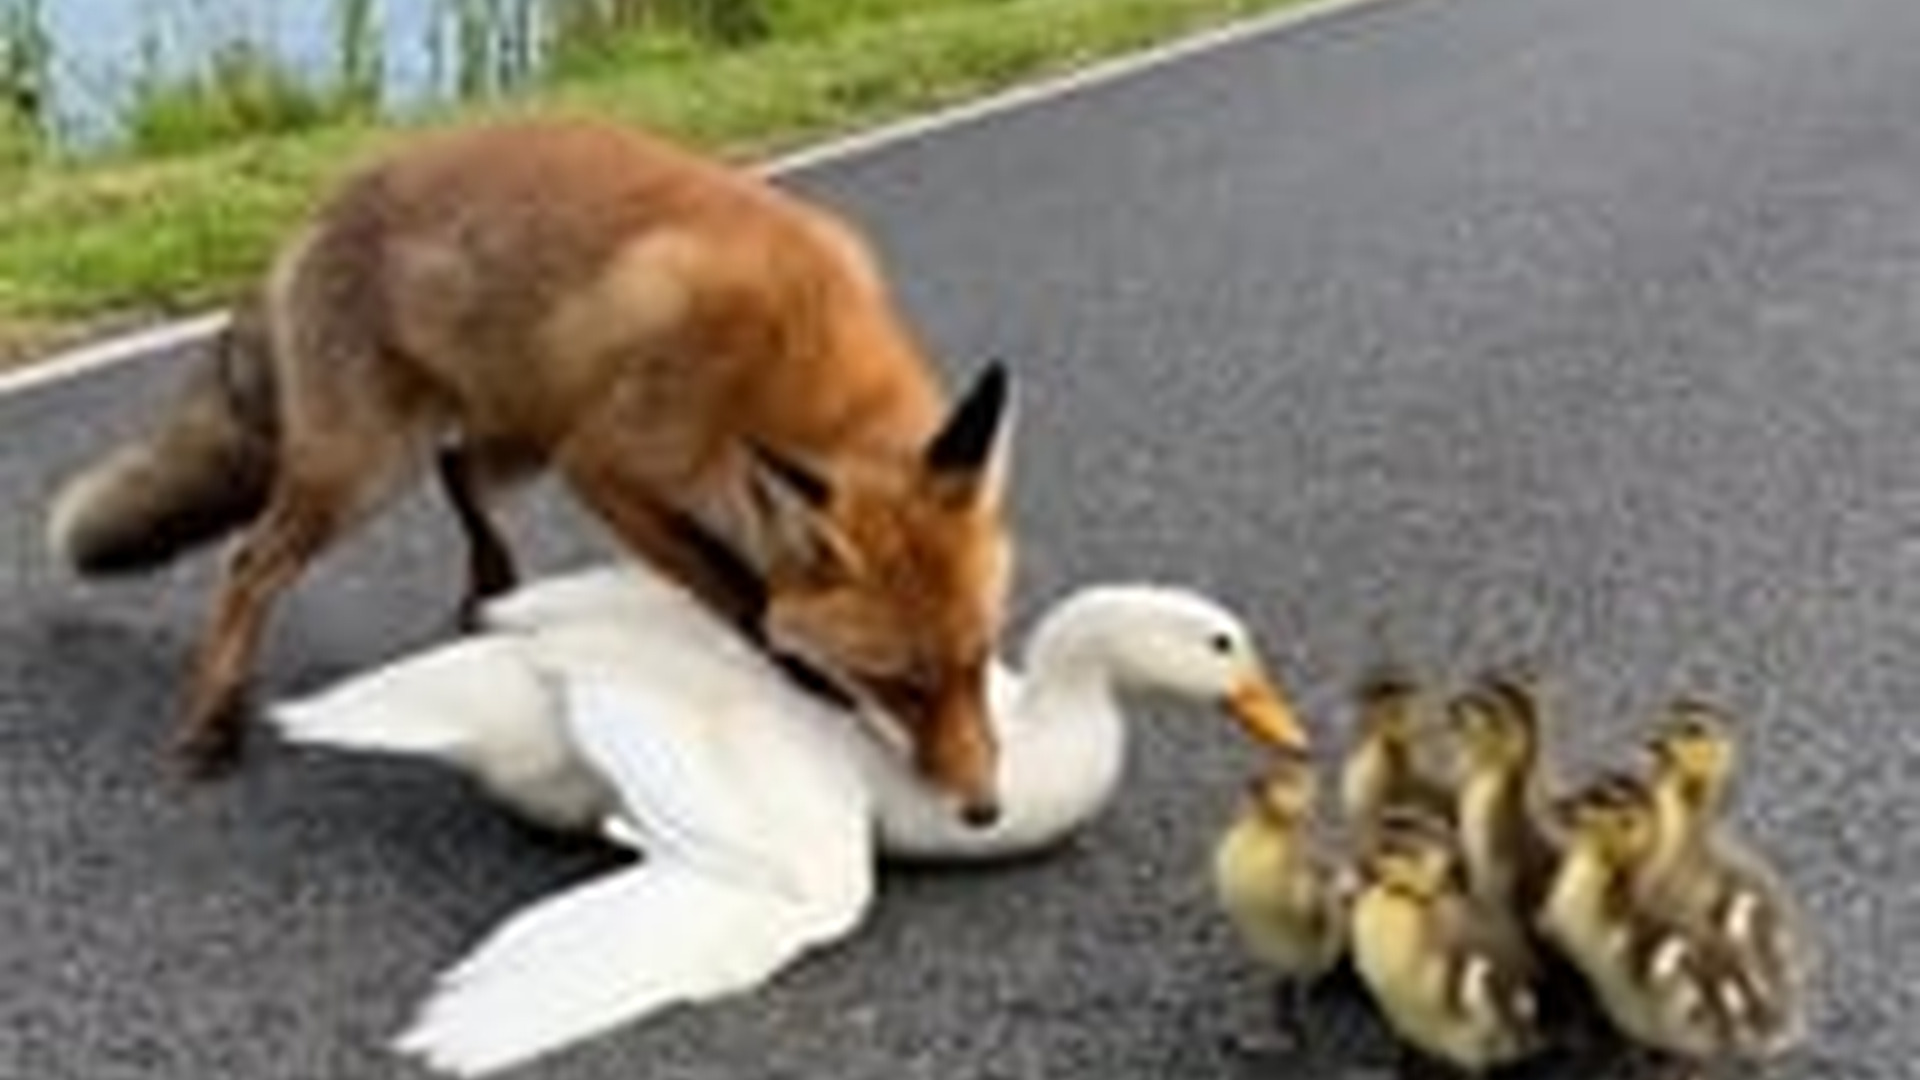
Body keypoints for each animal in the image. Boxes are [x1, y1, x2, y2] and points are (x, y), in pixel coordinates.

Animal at [46, 117, 1016, 825]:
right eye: (899, 684)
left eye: (978, 660)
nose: (983, 811)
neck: (787, 347)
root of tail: (313, 216)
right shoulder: (609, 467)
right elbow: (735, 592)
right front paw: (796, 672)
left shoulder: (630, 467)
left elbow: (742, 582)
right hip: (365, 471)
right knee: (250, 562)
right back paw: (213, 722)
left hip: (512, 442)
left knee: (460, 471)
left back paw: (488, 591)